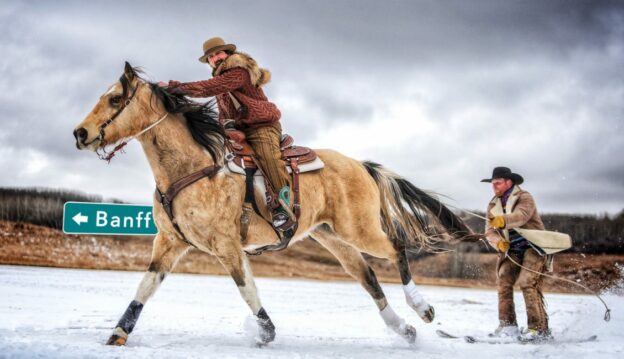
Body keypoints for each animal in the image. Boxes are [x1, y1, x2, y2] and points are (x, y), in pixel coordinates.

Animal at [73, 63, 470, 348]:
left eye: (114, 99)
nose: (80, 134)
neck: (191, 168)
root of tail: (360, 164)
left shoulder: (227, 245)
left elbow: (246, 287)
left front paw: (265, 332)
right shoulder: (169, 242)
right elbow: (145, 287)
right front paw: (118, 334)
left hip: (359, 229)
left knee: (397, 248)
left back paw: (423, 309)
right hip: (331, 236)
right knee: (368, 277)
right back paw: (403, 330)